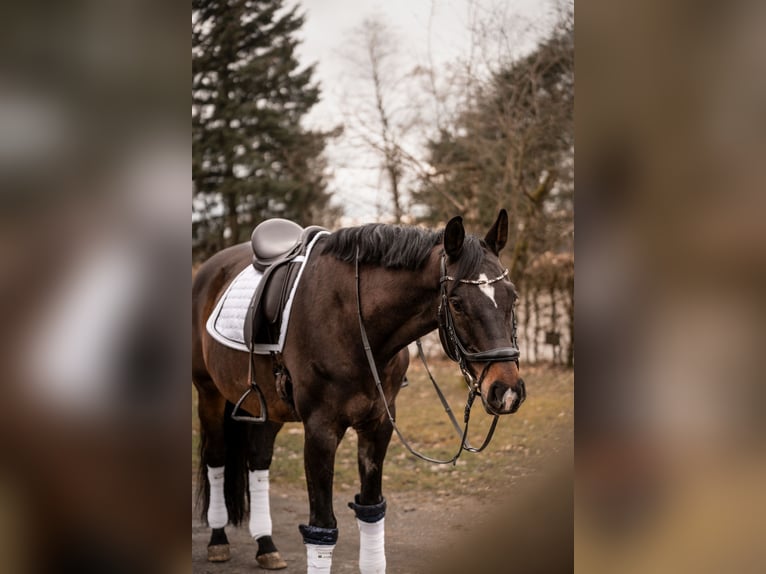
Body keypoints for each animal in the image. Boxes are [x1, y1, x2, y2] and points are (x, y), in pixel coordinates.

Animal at [194, 213, 528, 574]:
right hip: (209, 393)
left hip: (266, 408)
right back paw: (217, 540)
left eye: (513, 296)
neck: (354, 322)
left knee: (258, 461)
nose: (507, 390)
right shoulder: (321, 431)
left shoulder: (378, 425)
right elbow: (323, 528)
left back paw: (266, 545)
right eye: (456, 303)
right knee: (216, 458)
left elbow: (371, 512)